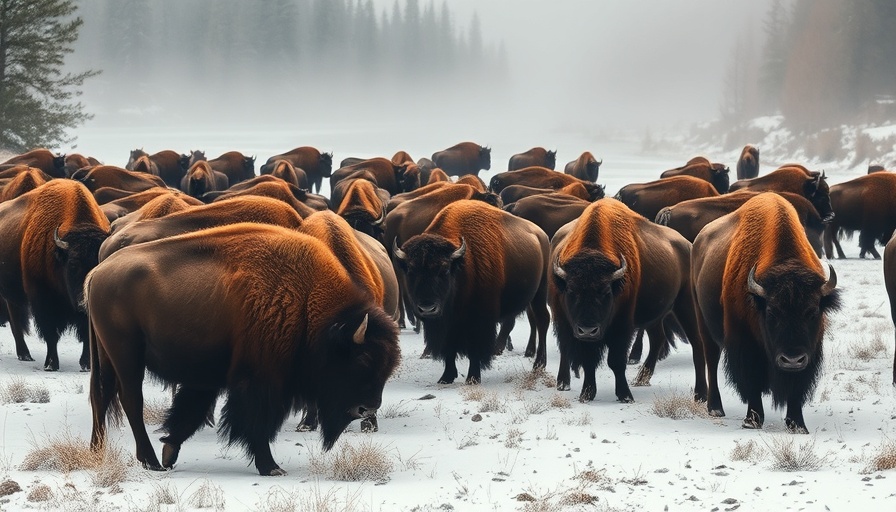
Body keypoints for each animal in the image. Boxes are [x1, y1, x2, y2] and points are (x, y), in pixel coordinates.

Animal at [0, 182, 111, 370]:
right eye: (72, 265)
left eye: (98, 263)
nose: (83, 302)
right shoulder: (44, 301)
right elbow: (51, 334)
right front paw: (51, 364)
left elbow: (86, 334)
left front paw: (86, 364)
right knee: (16, 323)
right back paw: (25, 355)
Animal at [86, 224, 400, 476]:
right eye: (362, 358)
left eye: (388, 366)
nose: (367, 408)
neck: (308, 304)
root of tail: (97, 273)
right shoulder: (261, 381)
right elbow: (256, 424)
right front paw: (271, 467)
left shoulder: (208, 378)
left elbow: (190, 412)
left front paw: (170, 451)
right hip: (126, 355)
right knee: (131, 400)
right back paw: (149, 461)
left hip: (107, 356)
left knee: (102, 395)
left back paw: (99, 450)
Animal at [394, 199, 548, 380]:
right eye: (411, 271)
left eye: (445, 270)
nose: (427, 307)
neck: (461, 266)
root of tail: (541, 235)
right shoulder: (448, 323)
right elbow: (449, 348)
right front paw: (446, 377)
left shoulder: (479, 319)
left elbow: (475, 350)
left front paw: (473, 377)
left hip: (540, 293)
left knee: (542, 320)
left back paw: (539, 364)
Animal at [692, 192, 840, 432]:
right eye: (771, 312)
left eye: (812, 311)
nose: (791, 359)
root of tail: (698, 241)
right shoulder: (745, 344)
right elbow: (751, 381)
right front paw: (752, 420)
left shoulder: (810, 350)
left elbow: (797, 388)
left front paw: (798, 425)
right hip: (704, 324)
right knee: (711, 361)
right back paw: (715, 408)